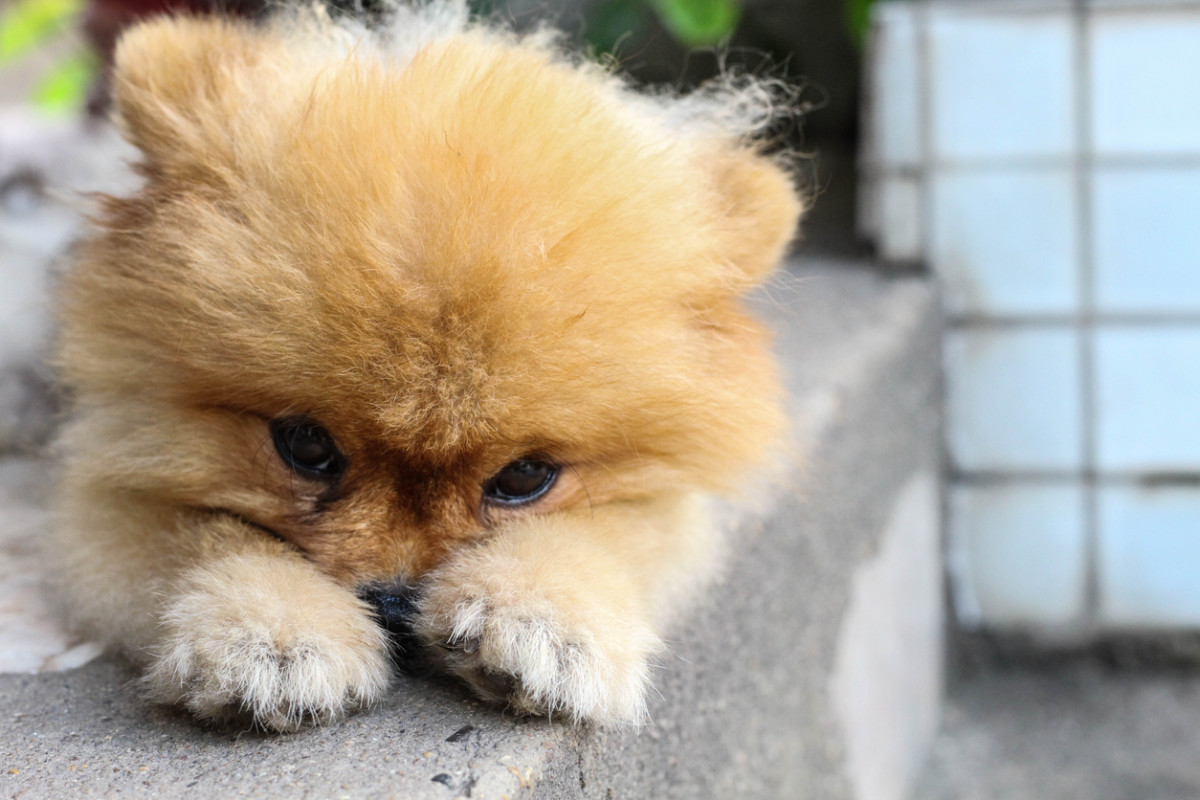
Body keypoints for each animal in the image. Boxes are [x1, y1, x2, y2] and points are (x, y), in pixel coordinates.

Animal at [56, 1, 806, 734]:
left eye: (524, 478)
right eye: (306, 446)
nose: (393, 606)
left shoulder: (659, 509)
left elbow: (603, 533)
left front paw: (543, 617)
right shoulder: (105, 482)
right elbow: (206, 531)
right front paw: (271, 630)